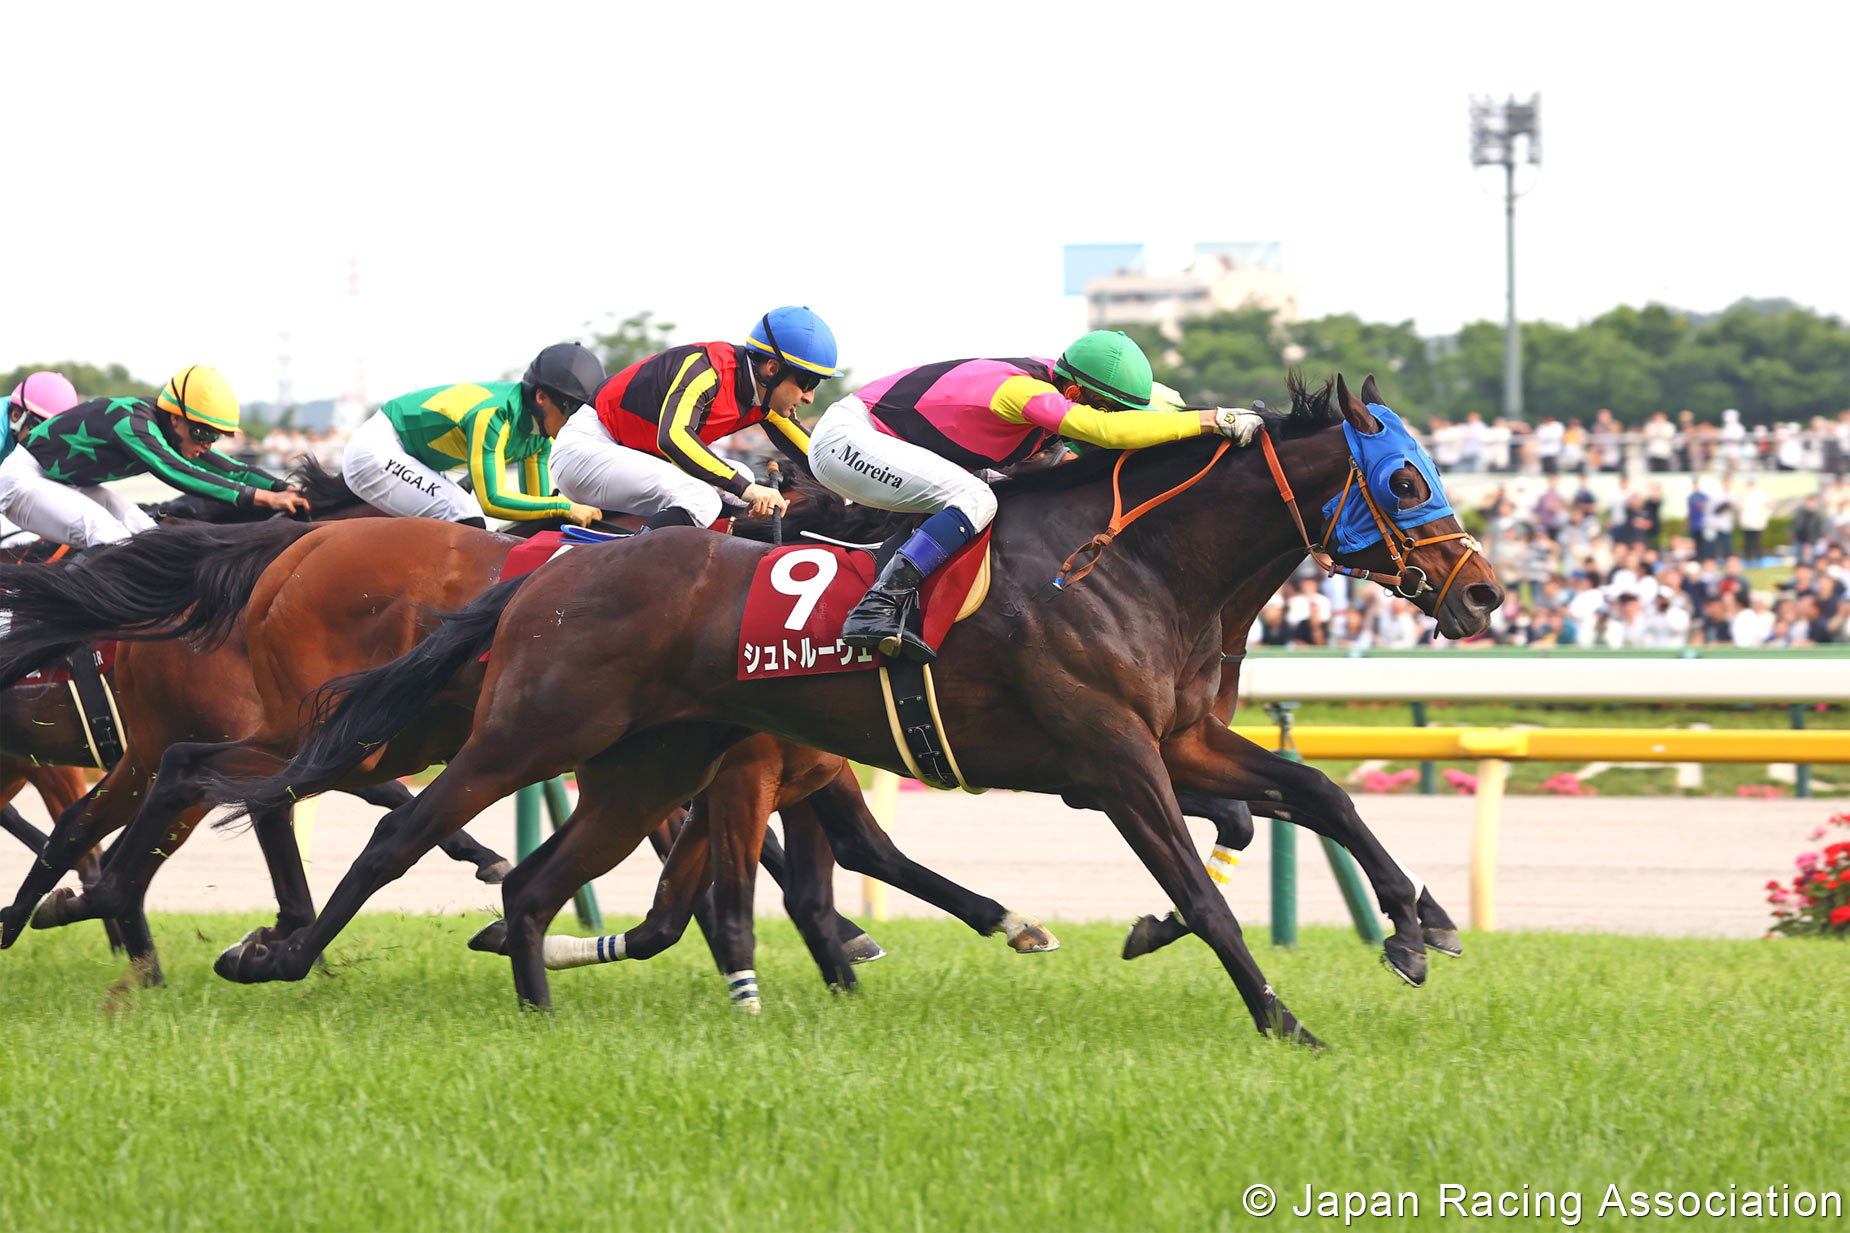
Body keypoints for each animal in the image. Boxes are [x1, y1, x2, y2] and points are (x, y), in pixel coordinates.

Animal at [209, 372, 1502, 1036]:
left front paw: (1414, 926)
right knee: (399, 834)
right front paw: (1282, 1018)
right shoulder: (1114, 759)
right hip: (537, 730)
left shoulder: (1176, 740)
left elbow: (1319, 793)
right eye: (1403, 478)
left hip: (649, 762)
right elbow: (1198, 888)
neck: (1120, 561)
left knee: (532, 881)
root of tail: (556, 572)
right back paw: (275, 957)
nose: (1484, 591)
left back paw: (537, 1010)